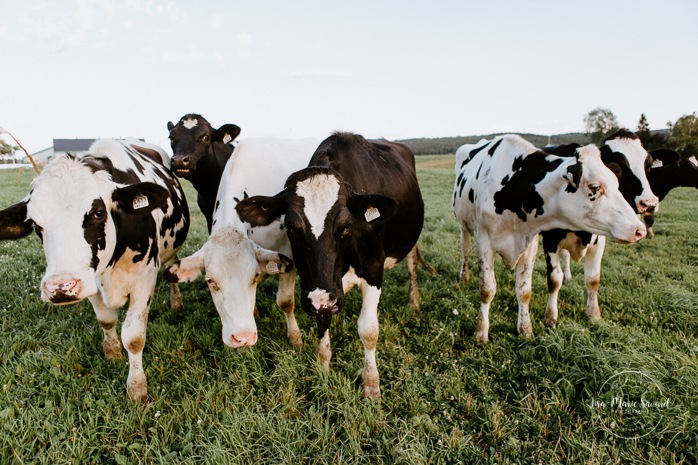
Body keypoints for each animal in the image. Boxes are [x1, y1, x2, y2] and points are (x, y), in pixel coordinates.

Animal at [0, 139, 188, 402]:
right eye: (36, 225)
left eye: (98, 213)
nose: (60, 288)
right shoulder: (92, 282)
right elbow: (106, 321)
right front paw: (112, 353)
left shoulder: (145, 278)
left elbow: (134, 337)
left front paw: (137, 389)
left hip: (171, 250)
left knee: (172, 269)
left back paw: (176, 302)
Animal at [163, 136, 318, 350]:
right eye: (210, 281)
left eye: (254, 275)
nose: (242, 337)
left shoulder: (288, 251)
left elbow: (286, 301)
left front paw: (295, 337)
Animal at [237, 132, 424, 396]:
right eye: (291, 228)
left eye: (346, 226)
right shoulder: (319, 290)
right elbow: (322, 321)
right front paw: (323, 367)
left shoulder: (373, 269)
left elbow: (368, 330)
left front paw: (371, 384)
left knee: (412, 265)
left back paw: (414, 302)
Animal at [454, 133, 644, 340]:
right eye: (595, 186)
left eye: (617, 183)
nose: (639, 230)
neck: (514, 187)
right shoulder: (485, 242)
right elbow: (487, 289)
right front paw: (481, 332)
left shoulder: (530, 243)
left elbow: (524, 290)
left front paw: (525, 329)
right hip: (463, 227)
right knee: (464, 251)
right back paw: (464, 277)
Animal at [536, 130, 656, 324]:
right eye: (615, 168)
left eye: (648, 167)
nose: (649, 203)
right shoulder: (550, 240)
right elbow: (554, 279)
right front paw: (551, 316)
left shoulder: (599, 241)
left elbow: (593, 279)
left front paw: (593, 314)